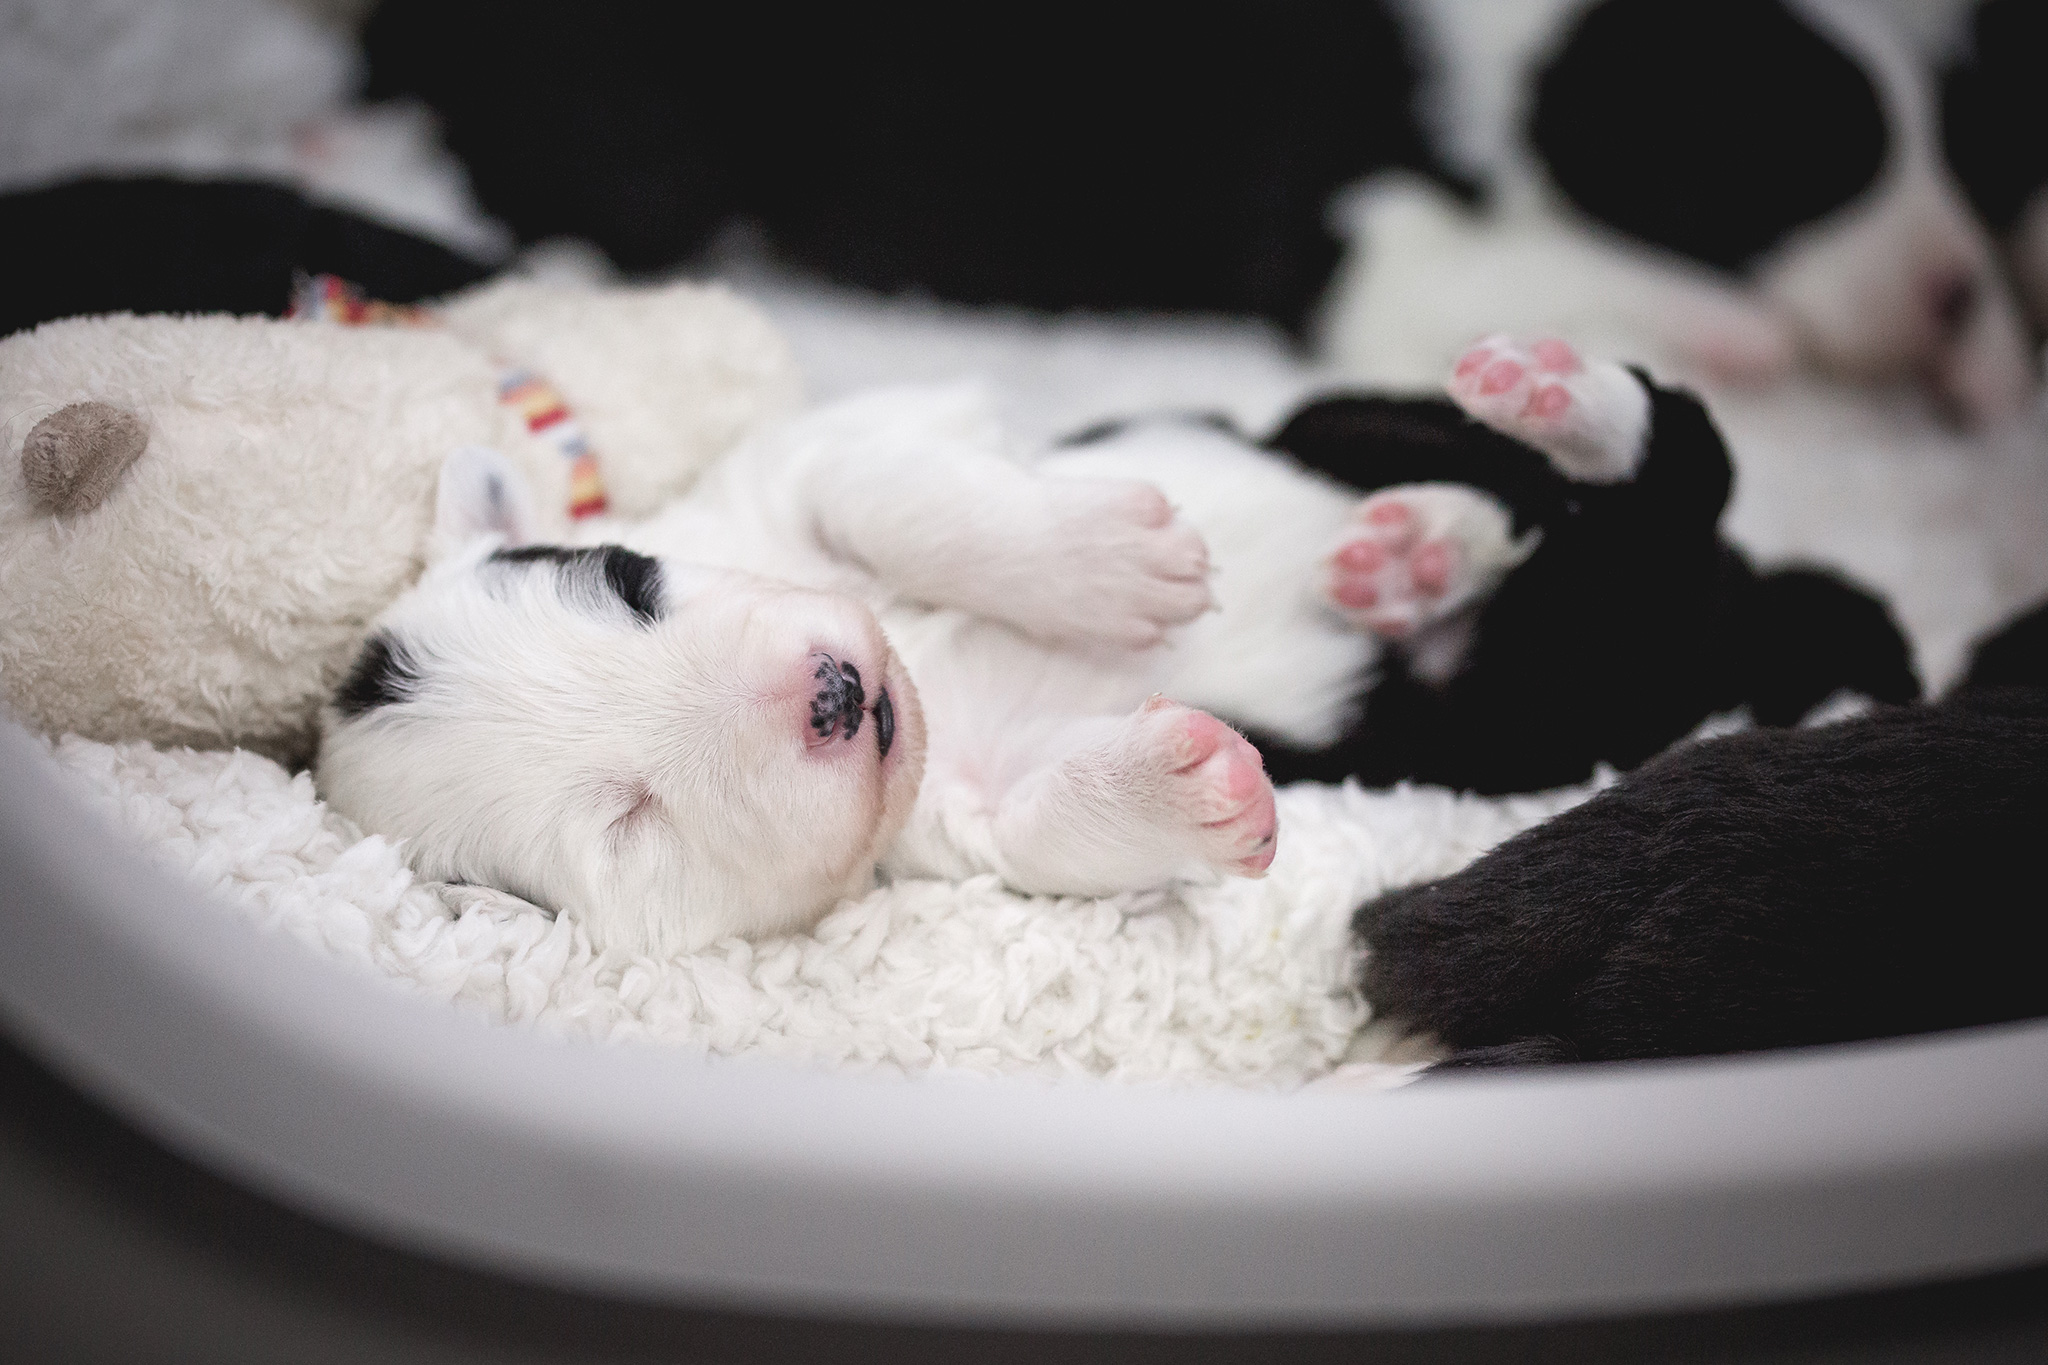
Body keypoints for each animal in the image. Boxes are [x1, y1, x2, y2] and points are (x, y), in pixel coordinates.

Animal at [315, 388, 1376, 957]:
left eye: (630, 581)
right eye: (627, 823)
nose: (837, 691)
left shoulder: (810, 455)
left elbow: (876, 491)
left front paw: (1114, 558)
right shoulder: (951, 831)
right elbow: (1039, 828)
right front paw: (1195, 788)